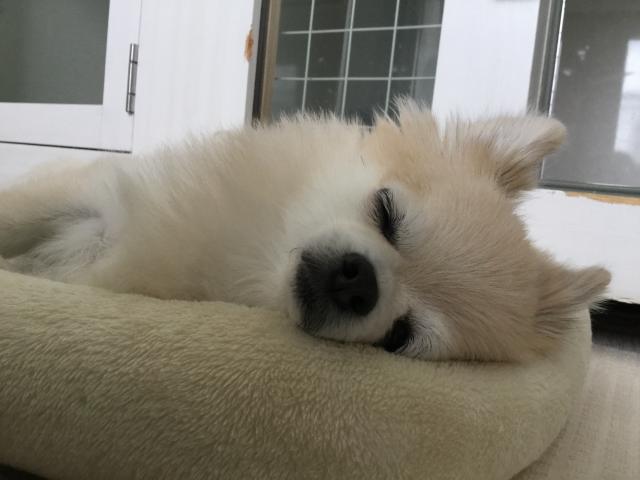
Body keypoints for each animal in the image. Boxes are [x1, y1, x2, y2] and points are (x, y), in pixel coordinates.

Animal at [0, 102, 610, 361]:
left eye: (400, 336)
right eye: (386, 212)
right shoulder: (89, 195)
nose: (359, 282)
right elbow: (16, 214)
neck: (261, 250)